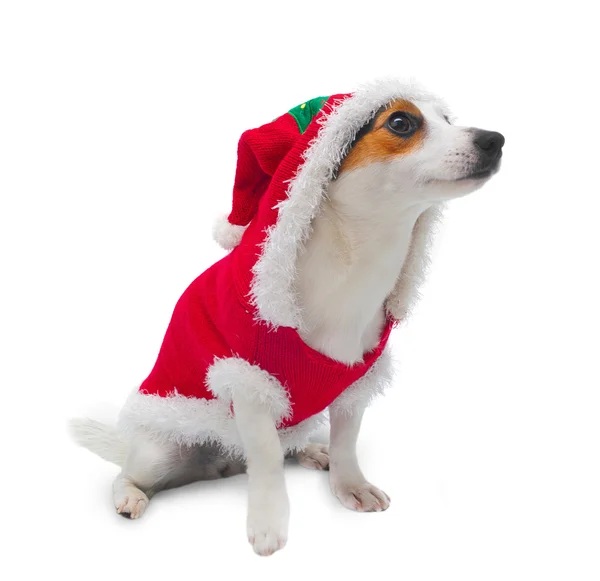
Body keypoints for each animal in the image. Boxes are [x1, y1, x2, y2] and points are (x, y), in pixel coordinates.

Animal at [70, 79, 504, 556]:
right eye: (401, 122)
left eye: (448, 119)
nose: (496, 140)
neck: (355, 269)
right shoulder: (251, 384)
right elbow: (266, 462)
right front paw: (268, 522)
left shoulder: (354, 385)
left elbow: (346, 442)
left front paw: (350, 484)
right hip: (160, 450)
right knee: (128, 473)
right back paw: (130, 495)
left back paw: (311, 451)